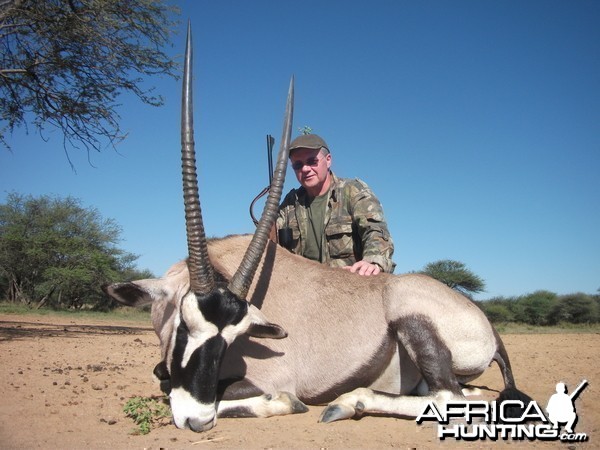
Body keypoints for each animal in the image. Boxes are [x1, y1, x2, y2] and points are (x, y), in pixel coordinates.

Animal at [103, 25, 528, 432]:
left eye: (232, 339)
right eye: (184, 326)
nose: (198, 419)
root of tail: (486, 324)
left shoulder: (271, 377)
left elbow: (217, 393)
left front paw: (282, 404)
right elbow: (161, 379)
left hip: (414, 322)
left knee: (449, 400)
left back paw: (348, 402)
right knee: (466, 395)